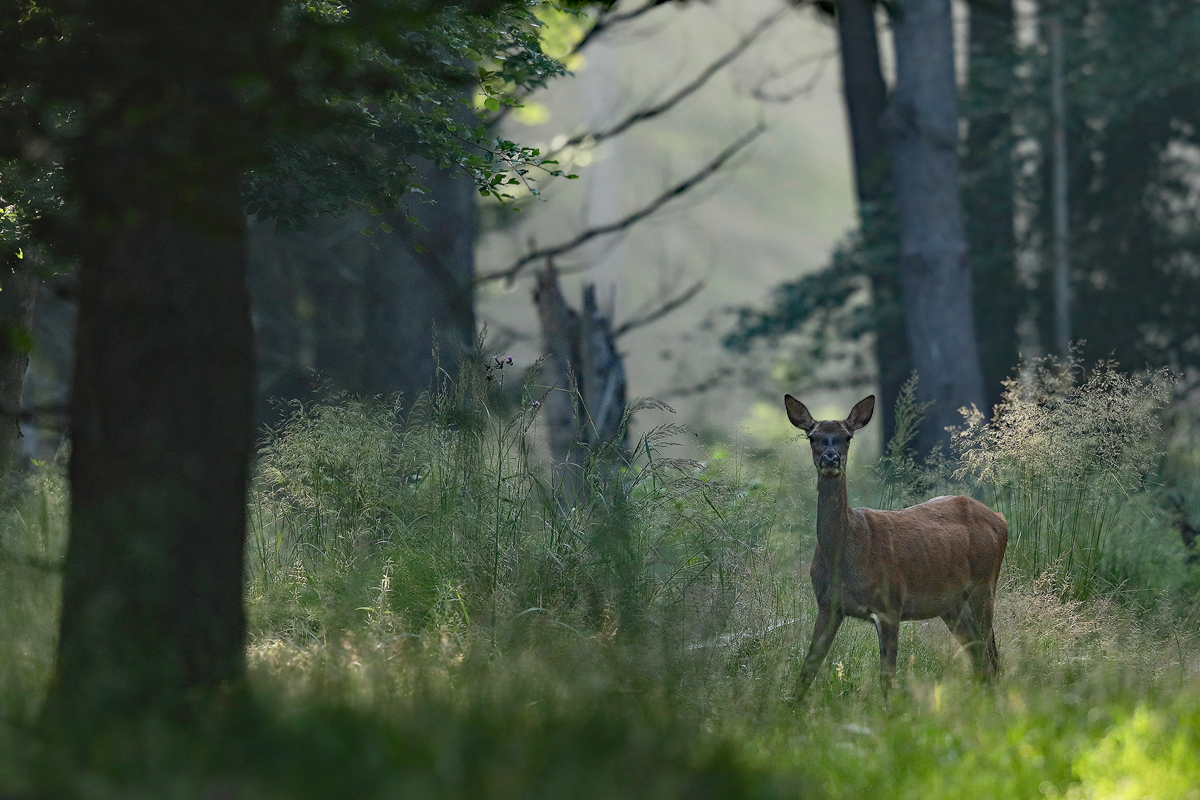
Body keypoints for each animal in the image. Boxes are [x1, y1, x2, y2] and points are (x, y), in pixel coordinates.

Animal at [782, 393, 1008, 700]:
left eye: (847, 437)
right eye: (812, 437)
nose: (831, 458)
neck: (846, 554)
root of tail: (1000, 518)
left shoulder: (890, 604)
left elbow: (887, 677)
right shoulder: (828, 605)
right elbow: (808, 669)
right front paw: (791, 706)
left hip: (984, 586)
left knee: (991, 654)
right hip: (952, 604)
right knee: (979, 655)